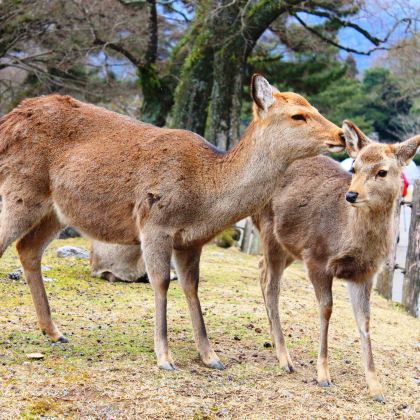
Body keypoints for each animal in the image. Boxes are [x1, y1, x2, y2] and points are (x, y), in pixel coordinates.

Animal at [0, 75, 344, 370]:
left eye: (315, 107)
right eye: (298, 115)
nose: (341, 134)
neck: (205, 195)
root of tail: (9, 120)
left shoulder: (191, 240)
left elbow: (192, 287)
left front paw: (211, 356)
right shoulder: (155, 223)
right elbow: (162, 282)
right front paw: (165, 357)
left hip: (55, 211)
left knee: (28, 249)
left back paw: (55, 331)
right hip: (21, 188)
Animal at [253, 120, 420, 402]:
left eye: (382, 171)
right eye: (354, 167)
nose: (351, 195)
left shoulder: (364, 274)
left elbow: (365, 320)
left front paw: (376, 388)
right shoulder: (316, 257)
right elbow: (326, 309)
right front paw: (323, 375)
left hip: (288, 248)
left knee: (262, 269)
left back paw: (276, 344)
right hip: (269, 229)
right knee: (270, 285)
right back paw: (285, 358)